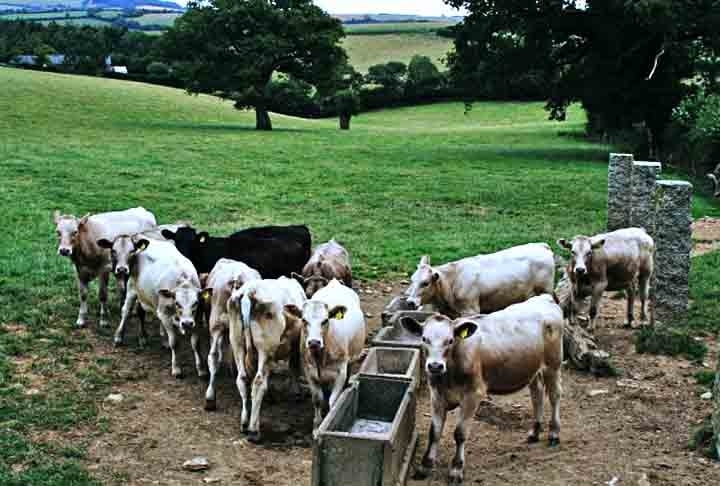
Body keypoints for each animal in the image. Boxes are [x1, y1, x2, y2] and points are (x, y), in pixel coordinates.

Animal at [115, 239, 205, 380]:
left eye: (195, 303)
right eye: (177, 303)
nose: (186, 323)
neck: (183, 281)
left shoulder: (197, 319)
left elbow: (196, 344)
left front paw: (201, 370)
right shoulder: (166, 316)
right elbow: (175, 343)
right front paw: (176, 369)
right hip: (132, 289)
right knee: (126, 311)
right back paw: (119, 337)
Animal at [225, 276, 304, 442]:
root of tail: (249, 291)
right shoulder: (296, 344)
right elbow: (294, 366)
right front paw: (296, 392)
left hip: (237, 343)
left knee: (242, 379)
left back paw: (244, 423)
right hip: (264, 349)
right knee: (258, 382)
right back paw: (254, 430)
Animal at [400, 292, 564, 482]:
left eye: (450, 340)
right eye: (424, 339)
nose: (435, 366)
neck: (449, 374)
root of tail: (544, 298)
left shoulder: (473, 395)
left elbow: (460, 433)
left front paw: (456, 469)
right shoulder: (437, 395)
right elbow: (434, 432)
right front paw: (424, 467)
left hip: (553, 364)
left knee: (554, 395)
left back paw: (554, 433)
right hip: (532, 369)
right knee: (537, 394)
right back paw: (534, 432)